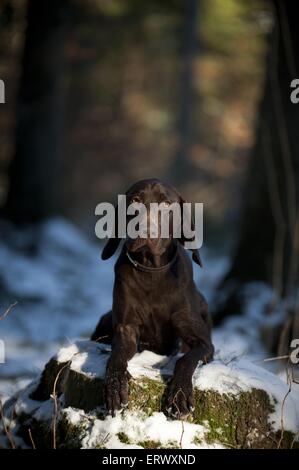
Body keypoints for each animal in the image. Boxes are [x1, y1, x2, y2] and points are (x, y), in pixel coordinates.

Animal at [92, 178, 214, 416]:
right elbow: (115, 357)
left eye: (166, 204)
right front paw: (115, 387)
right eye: (135, 200)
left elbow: (185, 360)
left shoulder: (203, 342)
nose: (145, 230)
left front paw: (180, 394)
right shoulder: (126, 329)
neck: (152, 271)